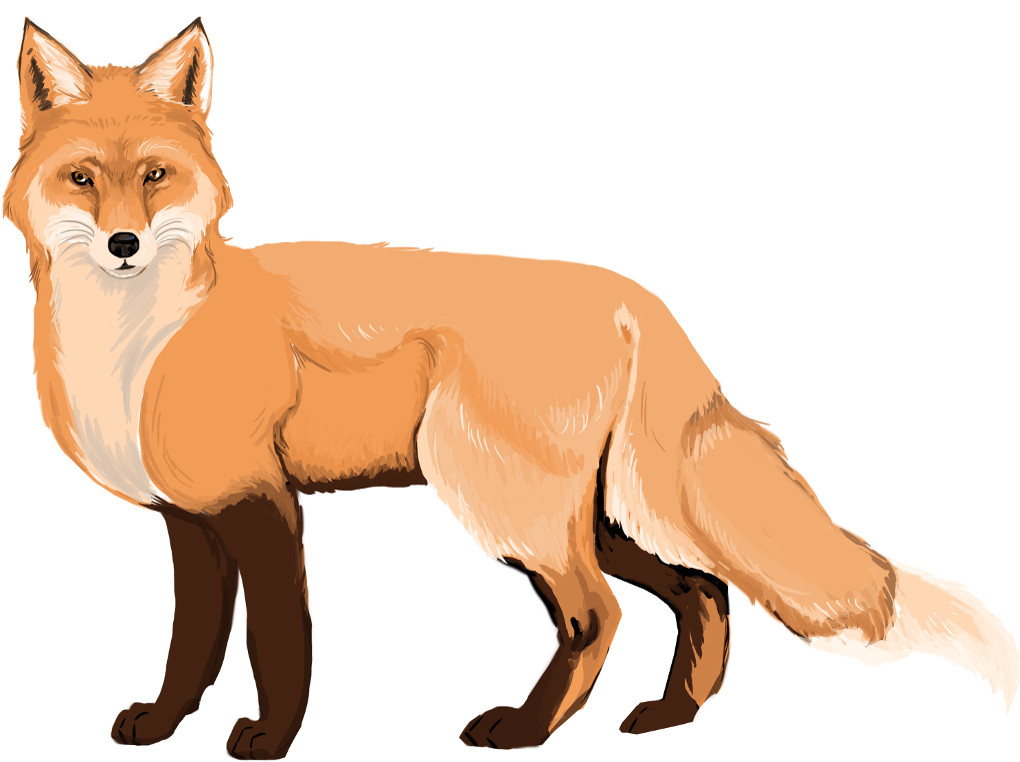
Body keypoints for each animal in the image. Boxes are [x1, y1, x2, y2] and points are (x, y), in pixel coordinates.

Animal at [4, 16, 1017, 760]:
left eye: (156, 176)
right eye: (82, 178)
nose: (124, 243)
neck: (134, 341)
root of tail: (633, 295)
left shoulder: (263, 503)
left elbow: (276, 641)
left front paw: (269, 740)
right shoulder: (192, 517)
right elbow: (193, 641)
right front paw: (161, 725)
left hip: (505, 500)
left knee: (600, 614)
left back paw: (527, 731)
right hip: (593, 515)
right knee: (700, 588)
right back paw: (673, 717)